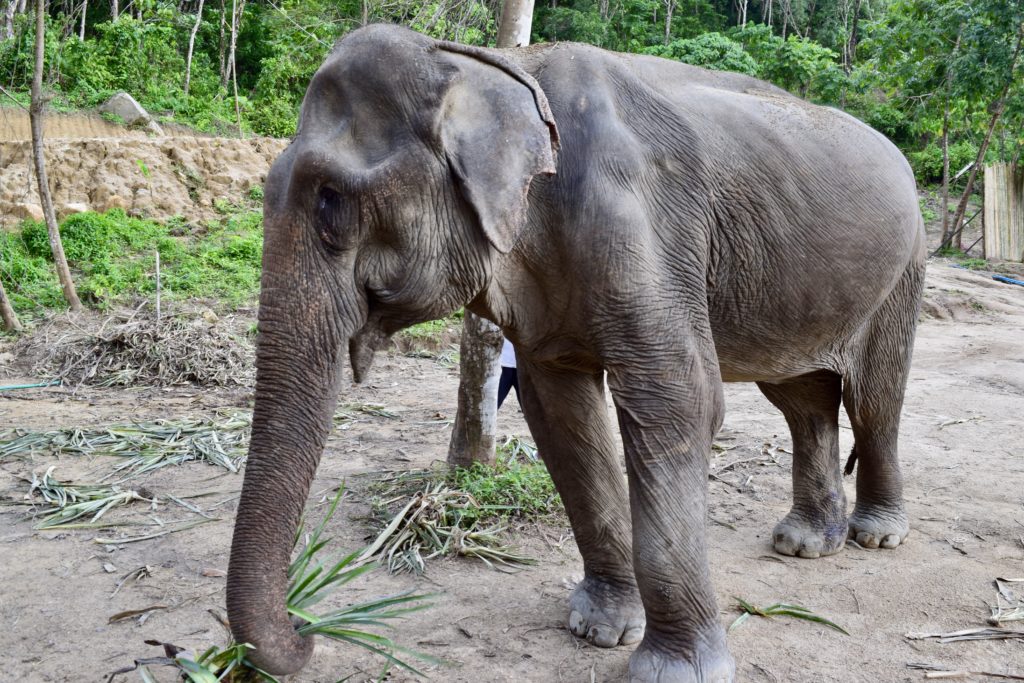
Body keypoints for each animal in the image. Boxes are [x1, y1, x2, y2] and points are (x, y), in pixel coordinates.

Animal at [226, 24, 924, 682]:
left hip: (903, 273)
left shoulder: (641, 223)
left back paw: (875, 535)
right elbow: (560, 411)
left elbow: (677, 402)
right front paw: (598, 629)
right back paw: (805, 544)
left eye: (331, 200)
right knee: (801, 398)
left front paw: (674, 671)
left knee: (873, 400)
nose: (307, 629)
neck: (488, 66)